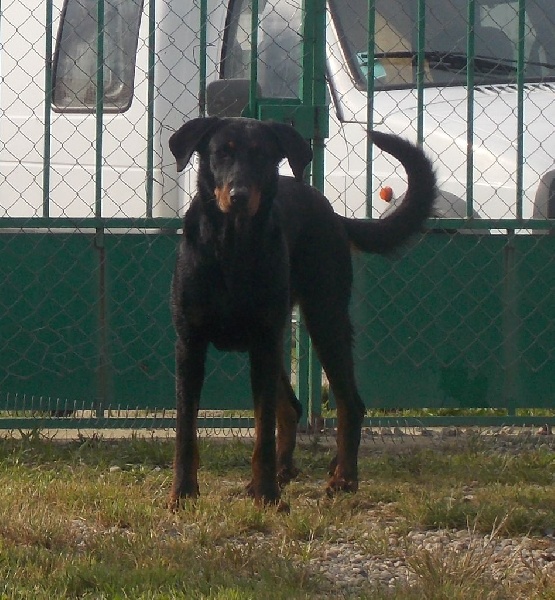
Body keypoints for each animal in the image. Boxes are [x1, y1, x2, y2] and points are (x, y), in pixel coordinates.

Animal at [167, 118, 436, 510]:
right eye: (221, 152)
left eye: (262, 155)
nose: (239, 195)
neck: (232, 247)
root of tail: (332, 213)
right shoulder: (191, 343)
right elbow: (186, 429)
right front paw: (183, 493)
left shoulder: (264, 340)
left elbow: (263, 430)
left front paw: (267, 495)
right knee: (293, 407)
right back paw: (283, 471)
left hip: (325, 319)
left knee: (350, 403)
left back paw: (343, 478)